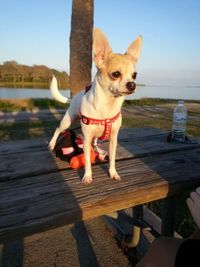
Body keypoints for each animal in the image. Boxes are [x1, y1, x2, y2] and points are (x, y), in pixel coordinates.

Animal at [49, 28, 141, 184]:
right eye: (115, 74)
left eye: (134, 75)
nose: (132, 84)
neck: (108, 105)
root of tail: (74, 97)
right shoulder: (86, 139)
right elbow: (86, 160)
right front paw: (87, 175)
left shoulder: (113, 139)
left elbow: (112, 160)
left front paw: (113, 173)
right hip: (68, 121)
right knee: (58, 129)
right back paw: (51, 143)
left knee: (95, 143)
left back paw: (100, 151)